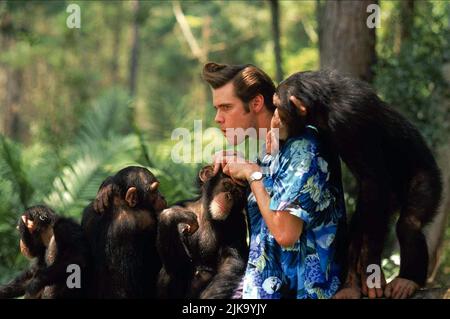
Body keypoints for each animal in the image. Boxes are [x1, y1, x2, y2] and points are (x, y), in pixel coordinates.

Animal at [156, 166, 248, 298]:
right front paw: (171, 215)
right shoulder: (179, 206)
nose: (229, 196)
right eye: (227, 185)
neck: (206, 213)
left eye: (237, 194)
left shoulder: (239, 223)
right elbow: (179, 266)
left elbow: (230, 261)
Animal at [276, 70, 442, 300]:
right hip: (388, 200)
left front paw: (370, 266)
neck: (323, 107)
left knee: (409, 224)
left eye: (278, 106)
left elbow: (374, 177)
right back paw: (351, 285)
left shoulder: (349, 117)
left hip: (427, 178)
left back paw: (407, 281)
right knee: (365, 219)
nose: (274, 119)